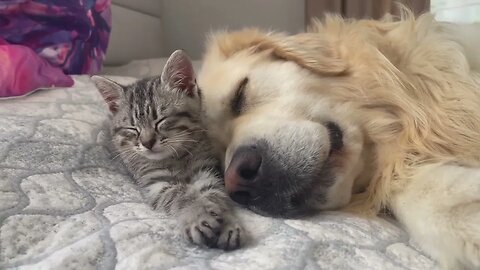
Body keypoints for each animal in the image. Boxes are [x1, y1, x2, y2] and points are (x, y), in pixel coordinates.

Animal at [91, 50, 244, 249]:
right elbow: (181, 196)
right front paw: (197, 214)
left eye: (160, 120)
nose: (147, 142)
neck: (176, 158)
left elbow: (215, 194)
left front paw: (227, 220)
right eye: (133, 128)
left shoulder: (206, 170)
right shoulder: (156, 183)